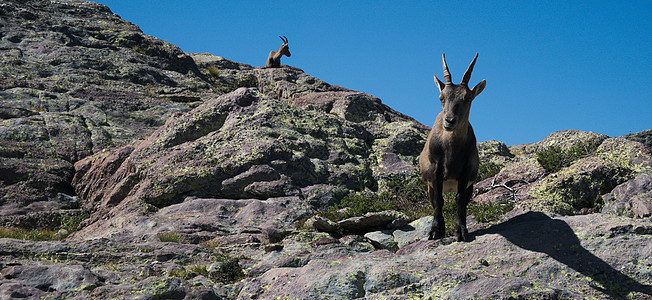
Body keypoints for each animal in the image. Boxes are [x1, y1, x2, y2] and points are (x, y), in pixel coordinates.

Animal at [420, 52, 486, 243]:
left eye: (467, 98)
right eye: (441, 98)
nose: (449, 121)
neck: (451, 149)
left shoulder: (465, 172)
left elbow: (459, 200)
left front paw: (461, 231)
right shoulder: (435, 171)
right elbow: (439, 201)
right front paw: (435, 231)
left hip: (469, 185)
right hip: (431, 186)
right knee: (436, 200)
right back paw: (440, 229)